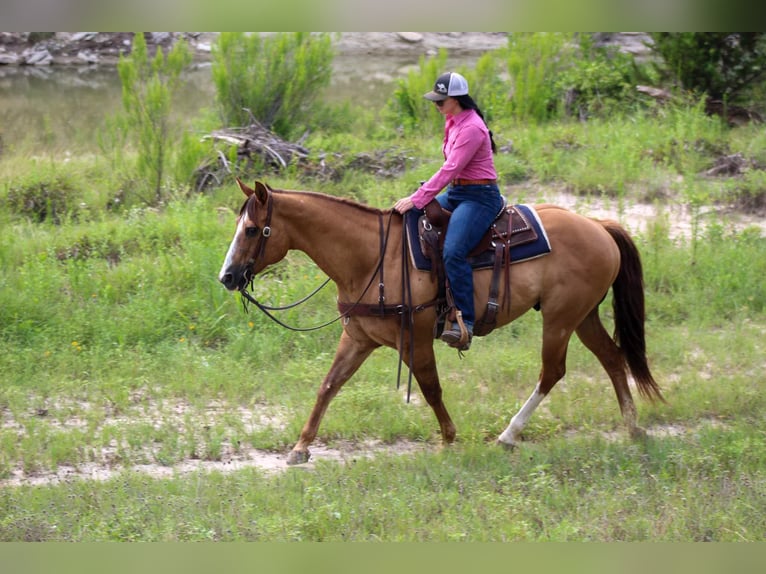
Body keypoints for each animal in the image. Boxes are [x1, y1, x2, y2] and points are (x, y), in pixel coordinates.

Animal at [219, 180, 664, 468]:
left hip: (560, 319)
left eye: (253, 229)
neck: (372, 256)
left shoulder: (414, 338)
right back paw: (632, 427)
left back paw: (508, 435)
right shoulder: (358, 338)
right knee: (612, 358)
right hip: (582, 315)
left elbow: (431, 388)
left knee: (552, 371)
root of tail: (599, 226)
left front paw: (449, 438)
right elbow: (329, 386)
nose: (227, 277)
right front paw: (300, 446)